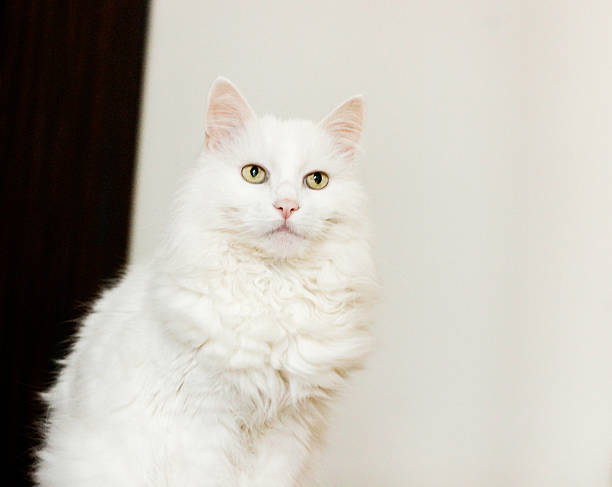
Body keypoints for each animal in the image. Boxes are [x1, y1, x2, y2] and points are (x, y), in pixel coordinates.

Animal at [34, 78, 378, 486]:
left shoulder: (287, 432)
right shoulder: (202, 423)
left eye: (316, 181)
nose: (287, 206)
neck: (273, 287)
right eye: (254, 173)